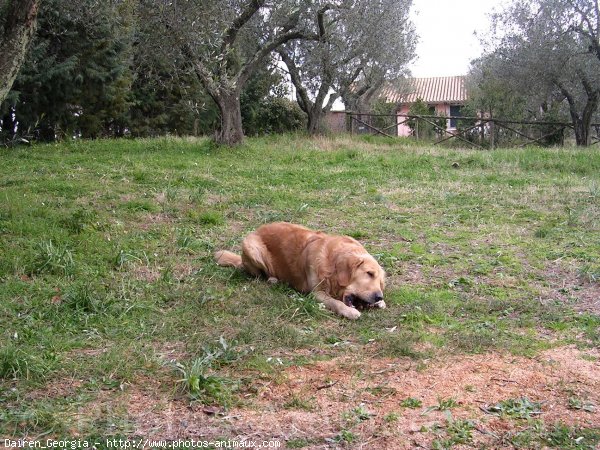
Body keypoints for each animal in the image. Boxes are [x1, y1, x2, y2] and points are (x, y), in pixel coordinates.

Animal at [213, 222, 386, 320]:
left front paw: (381, 303)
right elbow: (336, 302)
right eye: (369, 273)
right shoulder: (317, 293)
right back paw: (272, 279)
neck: (331, 264)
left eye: (380, 282)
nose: (379, 296)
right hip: (251, 246)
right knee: (257, 274)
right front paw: (349, 312)